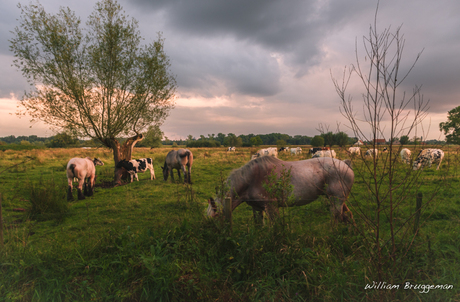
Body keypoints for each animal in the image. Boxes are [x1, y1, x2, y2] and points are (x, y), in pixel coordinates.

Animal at [208, 157, 356, 223]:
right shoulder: (257, 208)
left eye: (213, 221)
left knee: (337, 218)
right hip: (337, 200)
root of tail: (345, 163)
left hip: (336, 200)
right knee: (347, 215)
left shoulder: (271, 207)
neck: (252, 179)